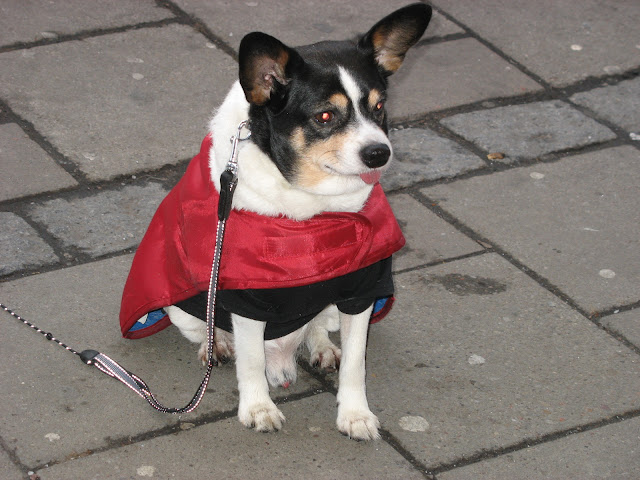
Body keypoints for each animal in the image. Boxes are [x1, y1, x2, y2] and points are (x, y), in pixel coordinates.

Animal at [120, 3, 431, 440]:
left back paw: (321, 347)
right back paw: (220, 345)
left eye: (378, 107)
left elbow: (357, 363)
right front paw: (258, 408)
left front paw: (355, 414)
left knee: (317, 326)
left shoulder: (362, 291)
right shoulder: (247, 297)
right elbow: (250, 361)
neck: (313, 210)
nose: (379, 153)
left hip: (330, 309)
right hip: (180, 308)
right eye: (324, 115)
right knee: (215, 333)